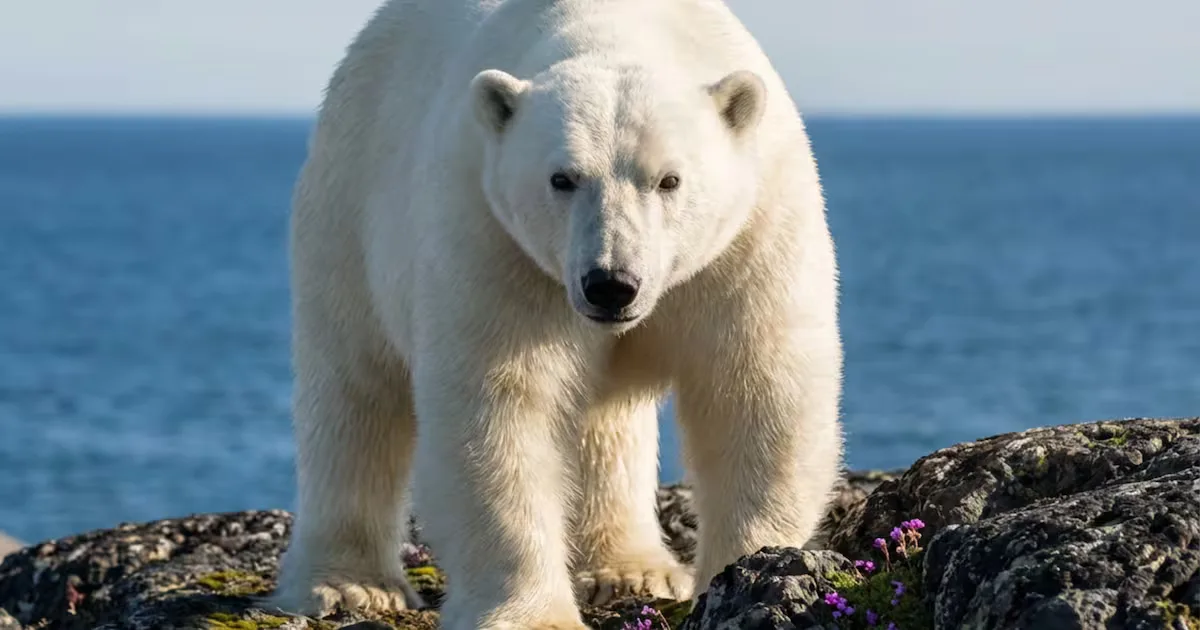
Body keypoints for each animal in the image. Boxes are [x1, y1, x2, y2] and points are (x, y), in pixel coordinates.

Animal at [270, 0, 844, 628]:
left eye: (669, 179)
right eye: (562, 178)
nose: (611, 285)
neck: (616, 26)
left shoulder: (749, 239)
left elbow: (757, 391)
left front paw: (748, 571)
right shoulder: (495, 241)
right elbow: (500, 412)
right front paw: (531, 614)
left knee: (605, 424)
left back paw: (627, 569)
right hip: (350, 202)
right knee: (356, 392)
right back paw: (349, 584)